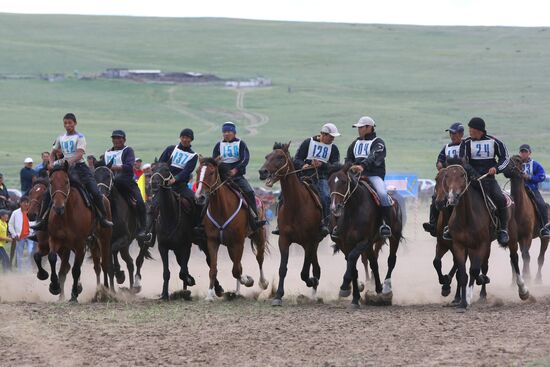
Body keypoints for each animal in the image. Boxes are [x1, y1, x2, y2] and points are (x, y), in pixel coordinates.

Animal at [47, 162, 113, 304]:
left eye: (66, 182)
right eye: (51, 182)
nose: (58, 207)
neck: (65, 215)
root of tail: (105, 198)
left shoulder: (80, 244)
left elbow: (76, 269)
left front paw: (74, 295)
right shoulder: (55, 239)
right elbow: (52, 258)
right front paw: (54, 286)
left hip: (104, 239)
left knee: (105, 265)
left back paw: (106, 292)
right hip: (90, 244)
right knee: (96, 267)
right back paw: (97, 293)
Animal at [196, 158, 270, 302]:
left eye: (211, 172)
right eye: (197, 171)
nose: (199, 197)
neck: (222, 209)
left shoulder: (238, 242)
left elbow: (236, 270)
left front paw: (248, 280)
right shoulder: (212, 242)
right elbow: (214, 269)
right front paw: (209, 295)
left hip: (258, 235)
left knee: (259, 258)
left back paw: (263, 282)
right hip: (231, 246)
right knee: (238, 264)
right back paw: (237, 291)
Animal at [258, 144, 328, 308]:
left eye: (280, 157)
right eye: (267, 156)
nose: (263, 172)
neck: (297, 205)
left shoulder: (309, 241)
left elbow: (304, 272)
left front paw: (311, 281)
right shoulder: (283, 240)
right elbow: (283, 268)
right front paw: (278, 296)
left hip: (313, 243)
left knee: (314, 268)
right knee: (316, 267)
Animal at [328, 166, 406, 308]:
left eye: (344, 182)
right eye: (329, 182)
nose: (334, 207)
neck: (354, 210)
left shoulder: (364, 241)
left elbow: (352, 259)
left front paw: (345, 286)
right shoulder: (347, 243)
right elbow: (352, 265)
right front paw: (354, 298)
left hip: (394, 237)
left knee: (391, 260)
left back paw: (385, 288)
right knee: (373, 262)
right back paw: (377, 287)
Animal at [440, 164, 532, 310]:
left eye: (462, 175)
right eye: (447, 175)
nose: (452, 197)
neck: (467, 216)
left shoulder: (481, 244)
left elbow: (474, 270)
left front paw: (467, 299)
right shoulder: (459, 245)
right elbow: (463, 274)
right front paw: (463, 302)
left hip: (511, 237)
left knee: (514, 258)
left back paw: (523, 291)